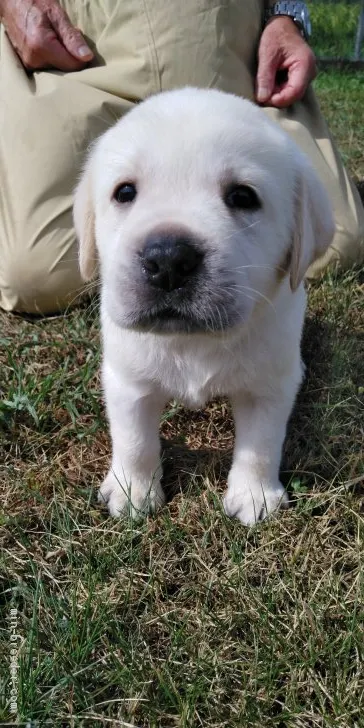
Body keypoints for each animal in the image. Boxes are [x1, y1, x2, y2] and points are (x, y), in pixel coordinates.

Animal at [74, 88, 336, 528]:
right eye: (124, 192)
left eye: (243, 196)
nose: (167, 260)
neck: (192, 340)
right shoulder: (128, 381)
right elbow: (134, 440)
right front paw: (132, 491)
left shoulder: (268, 386)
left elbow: (261, 444)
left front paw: (254, 495)